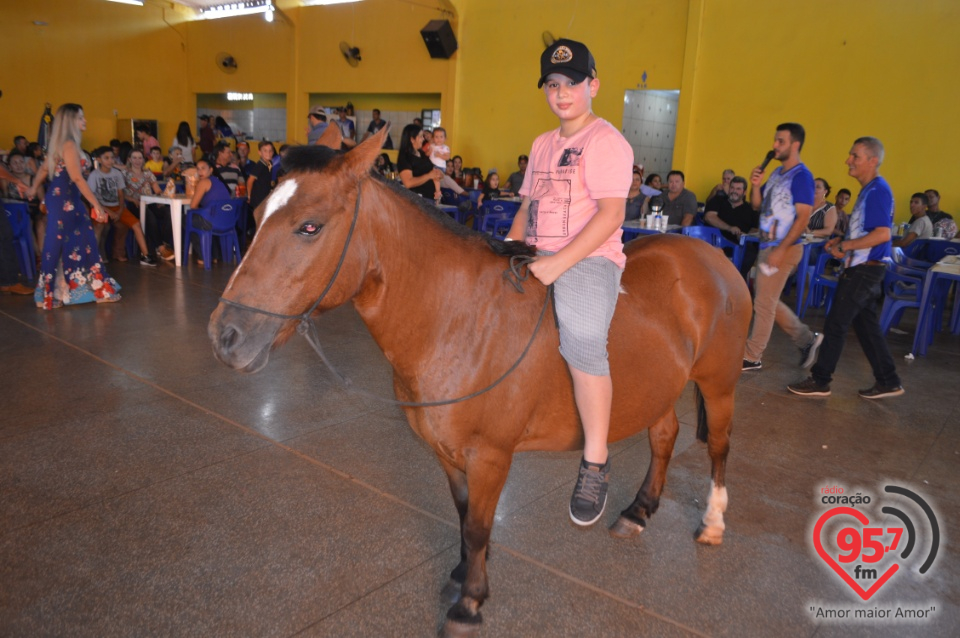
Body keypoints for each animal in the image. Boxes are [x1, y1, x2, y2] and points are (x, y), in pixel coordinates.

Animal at [208, 126, 752, 638]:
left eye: (310, 226)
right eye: (257, 214)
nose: (225, 336)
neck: (459, 320)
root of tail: (715, 259)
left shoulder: (490, 456)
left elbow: (477, 525)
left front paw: (468, 604)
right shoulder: (447, 453)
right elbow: (466, 517)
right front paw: (465, 573)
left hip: (718, 383)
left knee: (719, 446)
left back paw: (712, 522)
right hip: (660, 386)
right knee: (664, 437)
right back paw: (638, 511)